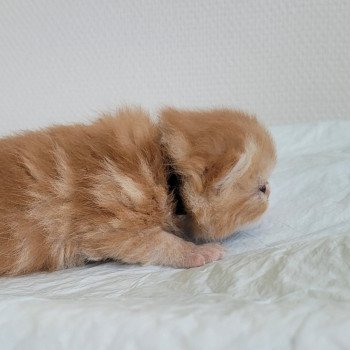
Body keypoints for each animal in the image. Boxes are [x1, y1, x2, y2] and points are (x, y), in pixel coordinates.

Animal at [0, 105, 276, 274]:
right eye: (261, 188)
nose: (271, 190)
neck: (165, 170)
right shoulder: (108, 224)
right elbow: (159, 242)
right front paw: (197, 252)